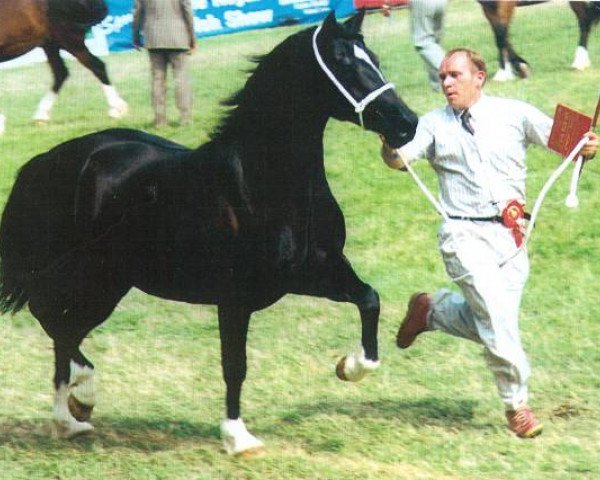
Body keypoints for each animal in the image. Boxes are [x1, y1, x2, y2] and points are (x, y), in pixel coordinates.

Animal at [0, 0, 126, 133]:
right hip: (51, 44)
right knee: (61, 73)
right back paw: (41, 116)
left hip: (69, 40)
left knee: (97, 66)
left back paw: (116, 110)